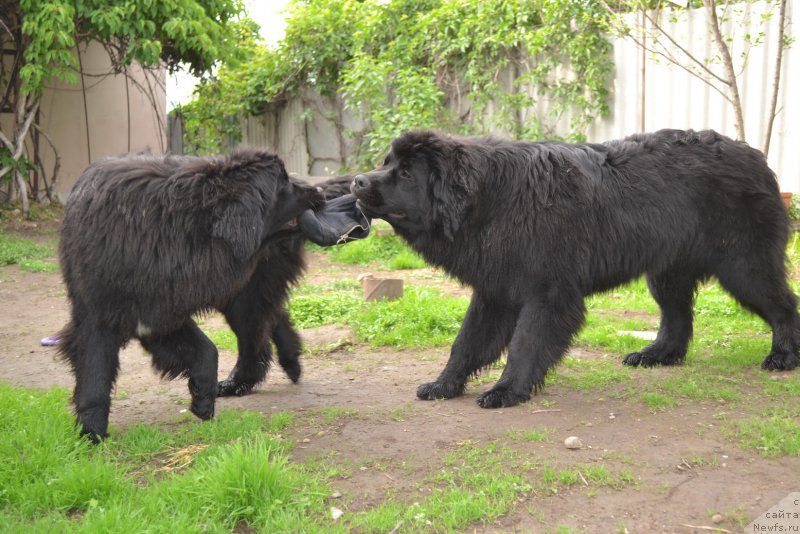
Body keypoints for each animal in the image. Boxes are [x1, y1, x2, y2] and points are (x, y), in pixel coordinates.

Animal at [58, 149, 324, 442]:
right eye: (283, 183)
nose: (319, 189)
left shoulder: (163, 313)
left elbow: (208, 350)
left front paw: (203, 401)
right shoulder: (110, 317)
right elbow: (95, 377)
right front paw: (91, 434)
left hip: (246, 292)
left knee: (256, 333)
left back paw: (261, 373)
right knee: (268, 321)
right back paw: (278, 367)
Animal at [352, 130, 800, 410]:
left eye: (405, 173)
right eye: (385, 163)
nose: (356, 181)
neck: (494, 201)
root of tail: (755, 156)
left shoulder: (547, 292)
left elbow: (525, 343)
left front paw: (507, 390)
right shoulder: (495, 291)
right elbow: (466, 343)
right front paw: (445, 384)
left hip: (744, 266)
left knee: (783, 305)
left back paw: (783, 356)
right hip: (667, 271)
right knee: (678, 317)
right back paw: (657, 355)